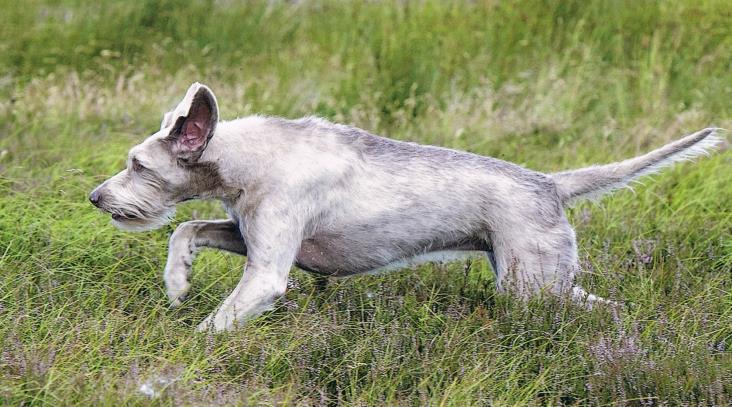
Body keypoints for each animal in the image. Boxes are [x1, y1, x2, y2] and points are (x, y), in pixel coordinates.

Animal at [90, 82, 720, 332]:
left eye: (138, 165)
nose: (95, 197)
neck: (246, 158)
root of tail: (549, 183)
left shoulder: (268, 271)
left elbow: (213, 326)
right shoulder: (248, 233)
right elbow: (189, 227)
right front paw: (178, 281)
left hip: (533, 288)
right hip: (548, 280)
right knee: (610, 308)